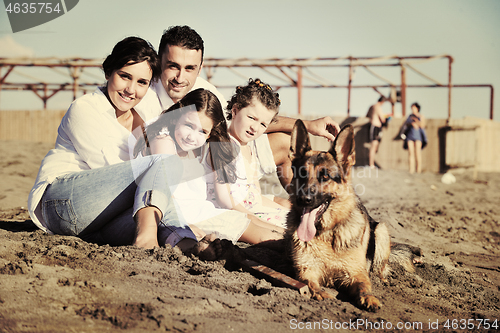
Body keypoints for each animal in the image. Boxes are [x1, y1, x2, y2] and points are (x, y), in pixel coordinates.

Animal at [286, 120, 418, 312]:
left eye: (325, 176)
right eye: (302, 174)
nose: (304, 199)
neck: (327, 233)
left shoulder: (356, 273)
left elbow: (364, 286)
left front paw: (369, 298)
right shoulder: (306, 270)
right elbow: (311, 285)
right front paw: (323, 295)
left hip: (381, 230)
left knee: (380, 269)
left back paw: (382, 279)